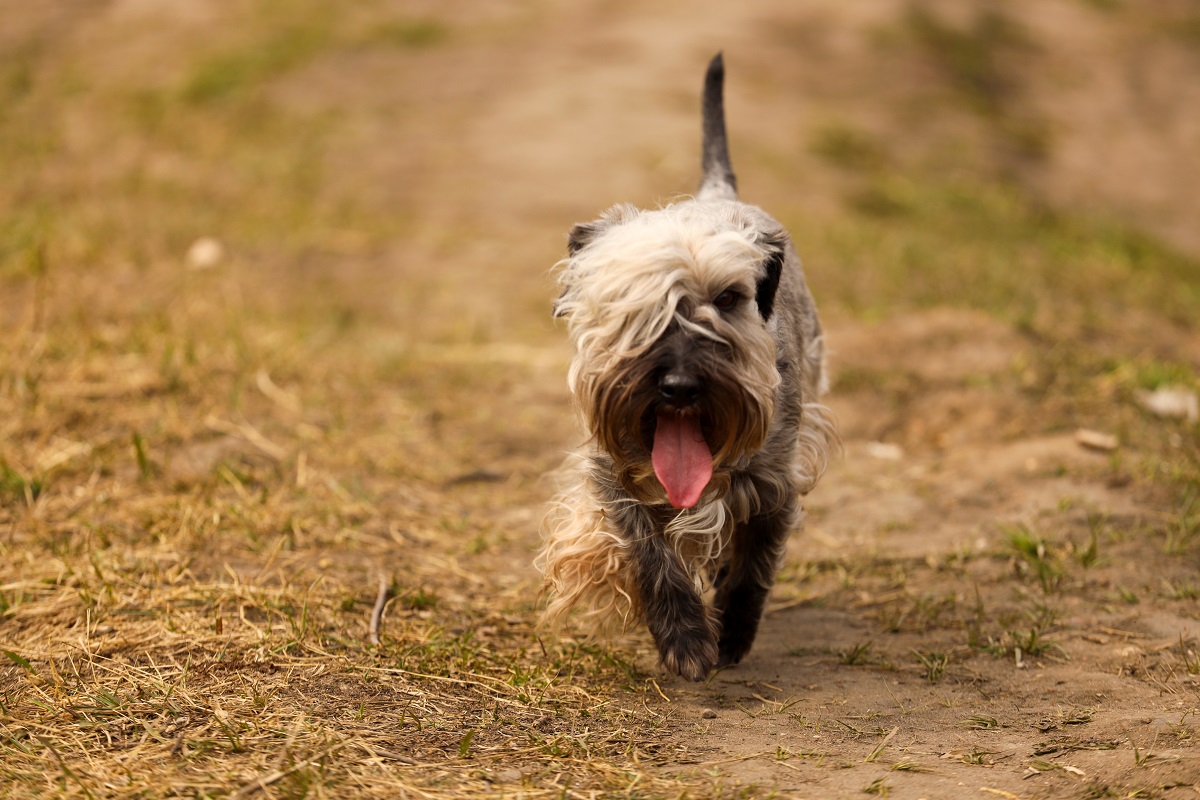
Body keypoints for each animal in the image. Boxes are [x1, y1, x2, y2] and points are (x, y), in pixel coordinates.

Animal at [537, 53, 835, 681]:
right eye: (629, 303)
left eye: (727, 298)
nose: (679, 386)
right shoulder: (616, 476)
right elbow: (650, 553)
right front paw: (685, 638)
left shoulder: (775, 479)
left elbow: (754, 563)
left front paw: (732, 635)